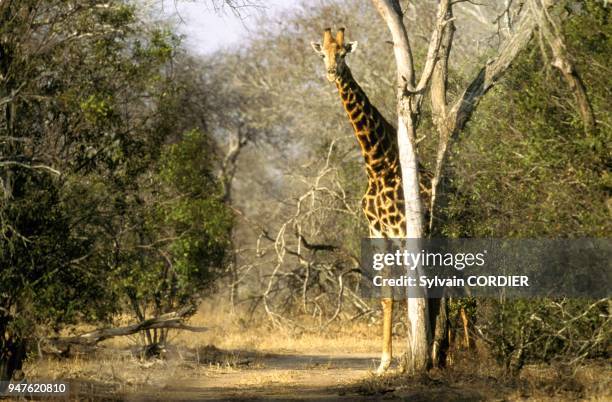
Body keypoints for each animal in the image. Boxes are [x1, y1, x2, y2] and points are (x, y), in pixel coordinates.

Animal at [314, 27, 408, 374]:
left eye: (343, 53)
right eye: (323, 53)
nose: (331, 72)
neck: (378, 164)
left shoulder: (404, 232)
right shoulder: (379, 232)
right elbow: (387, 296)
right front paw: (384, 362)